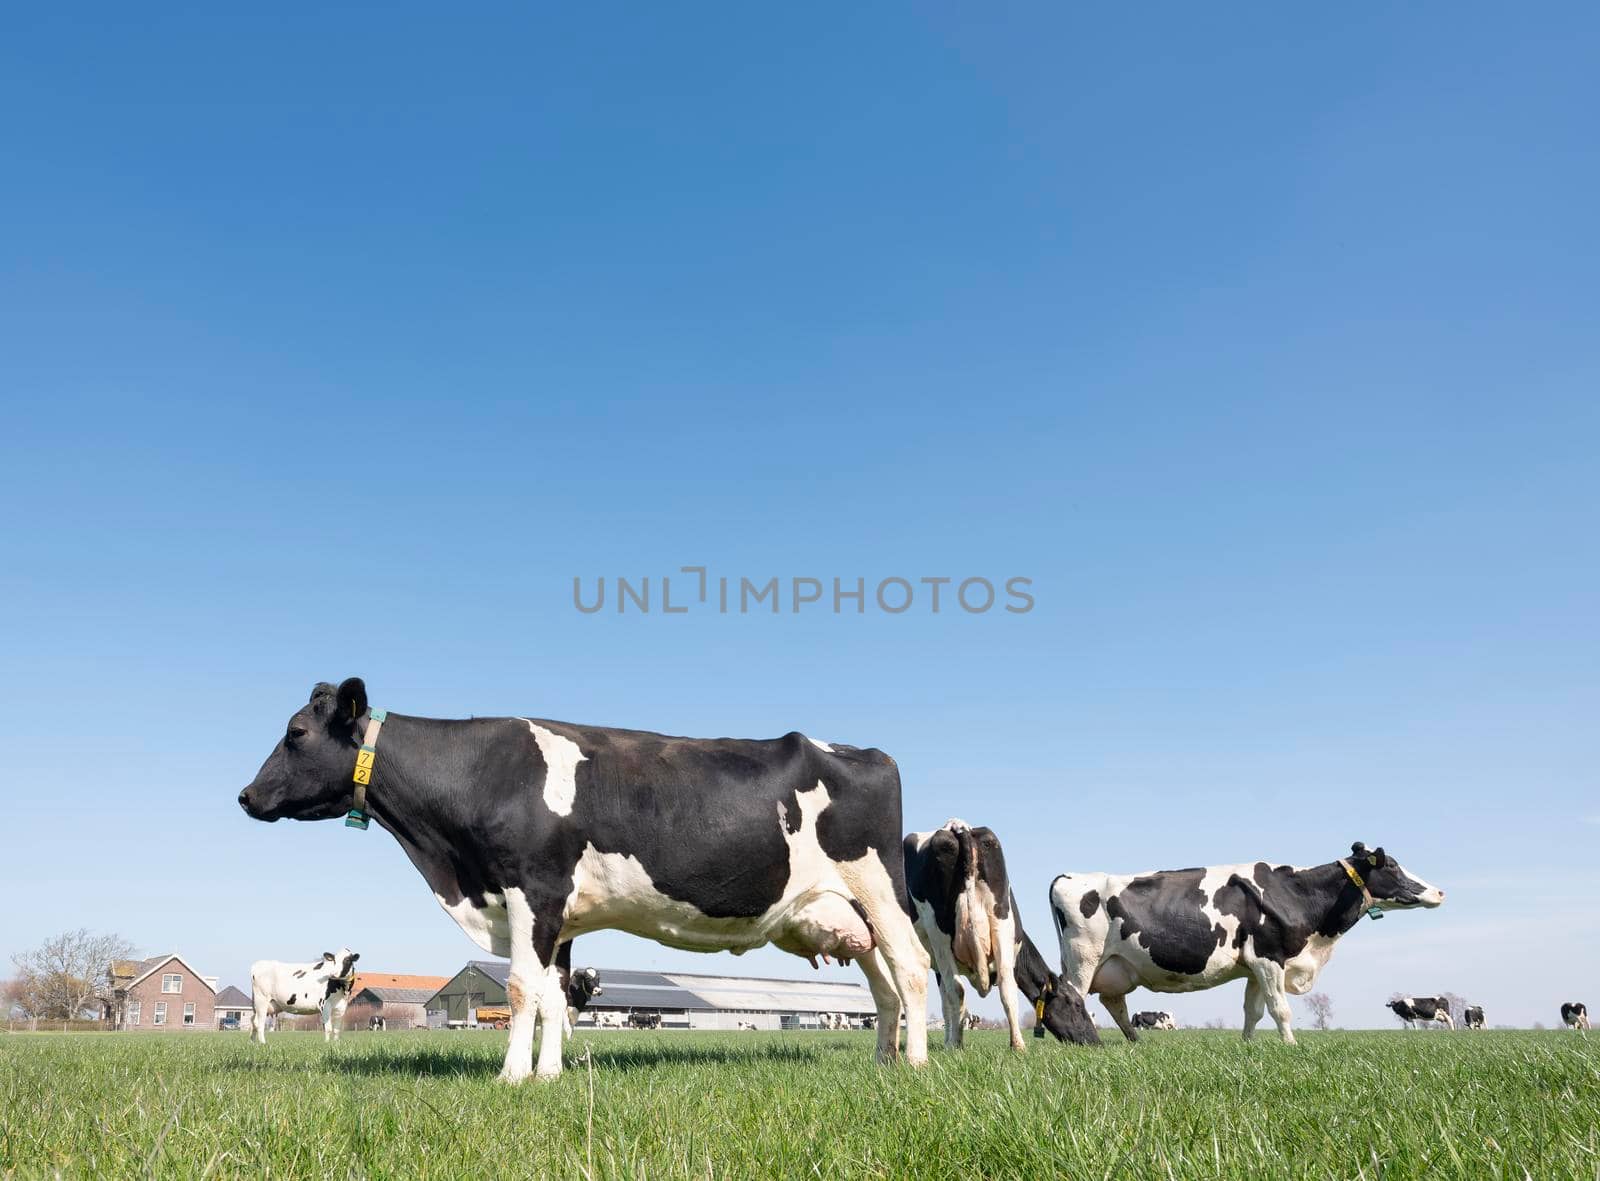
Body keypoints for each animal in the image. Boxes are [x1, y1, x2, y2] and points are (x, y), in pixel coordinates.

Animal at [235, 675, 928, 1081]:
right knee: (884, 986)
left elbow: (521, 989)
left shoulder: (532, 890)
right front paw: (548, 1075)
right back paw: (883, 1062)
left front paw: (513, 1077)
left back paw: (917, 1064)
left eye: (296, 732)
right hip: (851, 911)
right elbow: (551, 995)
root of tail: (866, 751)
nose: (245, 796)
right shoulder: (557, 914)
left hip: (880, 890)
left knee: (913, 969)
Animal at [902, 819, 1100, 1049]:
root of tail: (960, 828)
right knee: (1005, 987)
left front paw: (948, 1041)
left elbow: (947, 1003)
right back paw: (1014, 1046)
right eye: (1076, 1004)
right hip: (998, 925)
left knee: (958, 989)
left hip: (945, 935)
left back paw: (959, 1044)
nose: (1096, 1041)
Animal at [1043, 838, 1446, 1036]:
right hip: (1083, 960)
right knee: (1070, 999)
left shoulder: (1254, 965)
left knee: (1114, 1005)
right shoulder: (1269, 958)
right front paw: (1291, 1047)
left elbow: (1253, 1013)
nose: (1440, 891)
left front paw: (1248, 1049)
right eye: (1391, 865)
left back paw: (1133, 1044)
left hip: (1115, 968)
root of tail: (1067, 876)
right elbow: (1280, 1010)